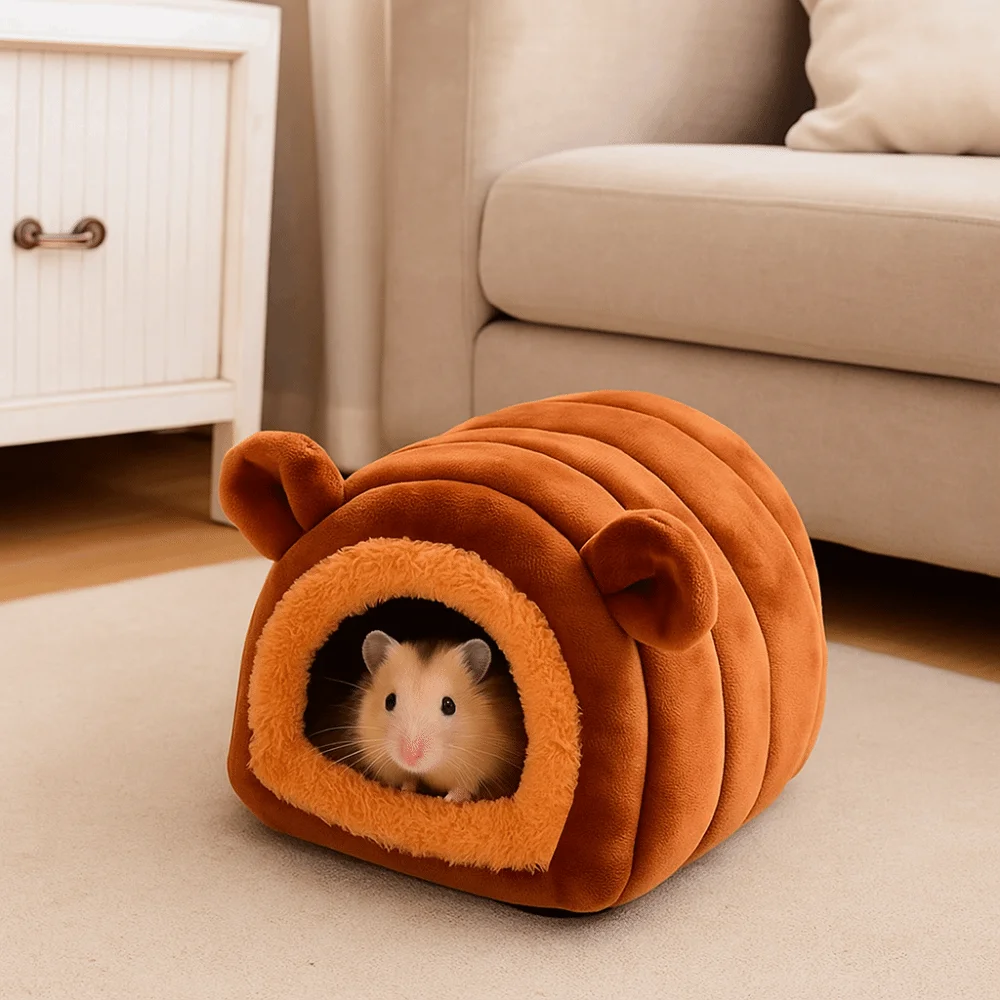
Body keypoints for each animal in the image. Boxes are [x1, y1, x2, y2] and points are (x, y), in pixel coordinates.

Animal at [313, 630, 526, 802]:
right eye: (389, 701)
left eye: (449, 705)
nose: (410, 758)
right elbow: (408, 780)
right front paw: (407, 790)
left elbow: (464, 787)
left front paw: (448, 800)